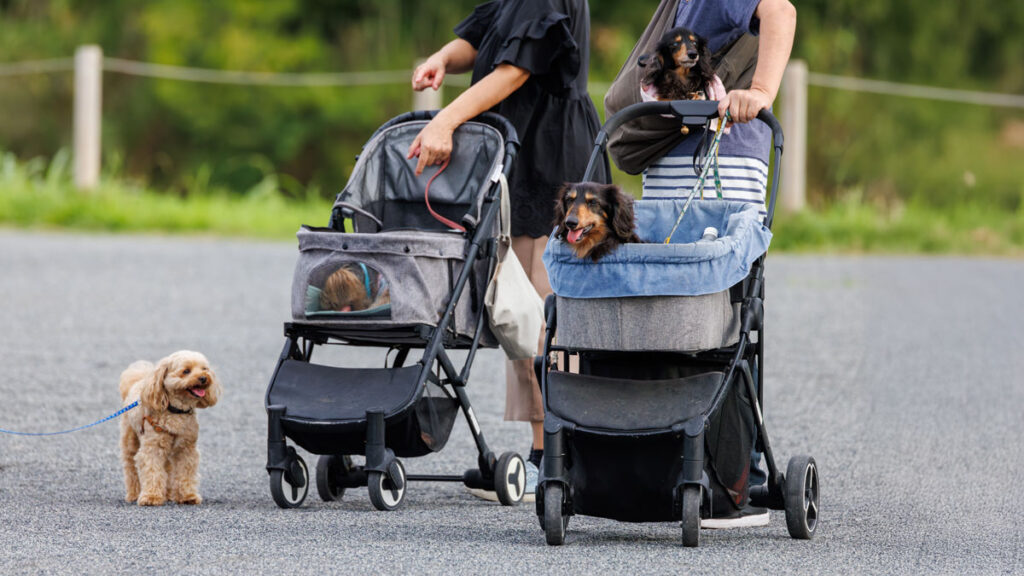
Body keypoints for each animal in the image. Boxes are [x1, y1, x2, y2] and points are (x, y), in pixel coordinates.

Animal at [118, 348, 221, 504]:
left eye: (204, 369)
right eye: (186, 371)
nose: (204, 378)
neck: (176, 410)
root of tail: (137, 382)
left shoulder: (186, 448)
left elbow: (185, 472)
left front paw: (188, 496)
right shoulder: (152, 447)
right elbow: (153, 470)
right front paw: (152, 497)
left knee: (167, 467)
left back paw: (169, 494)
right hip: (130, 439)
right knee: (130, 467)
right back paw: (134, 494)